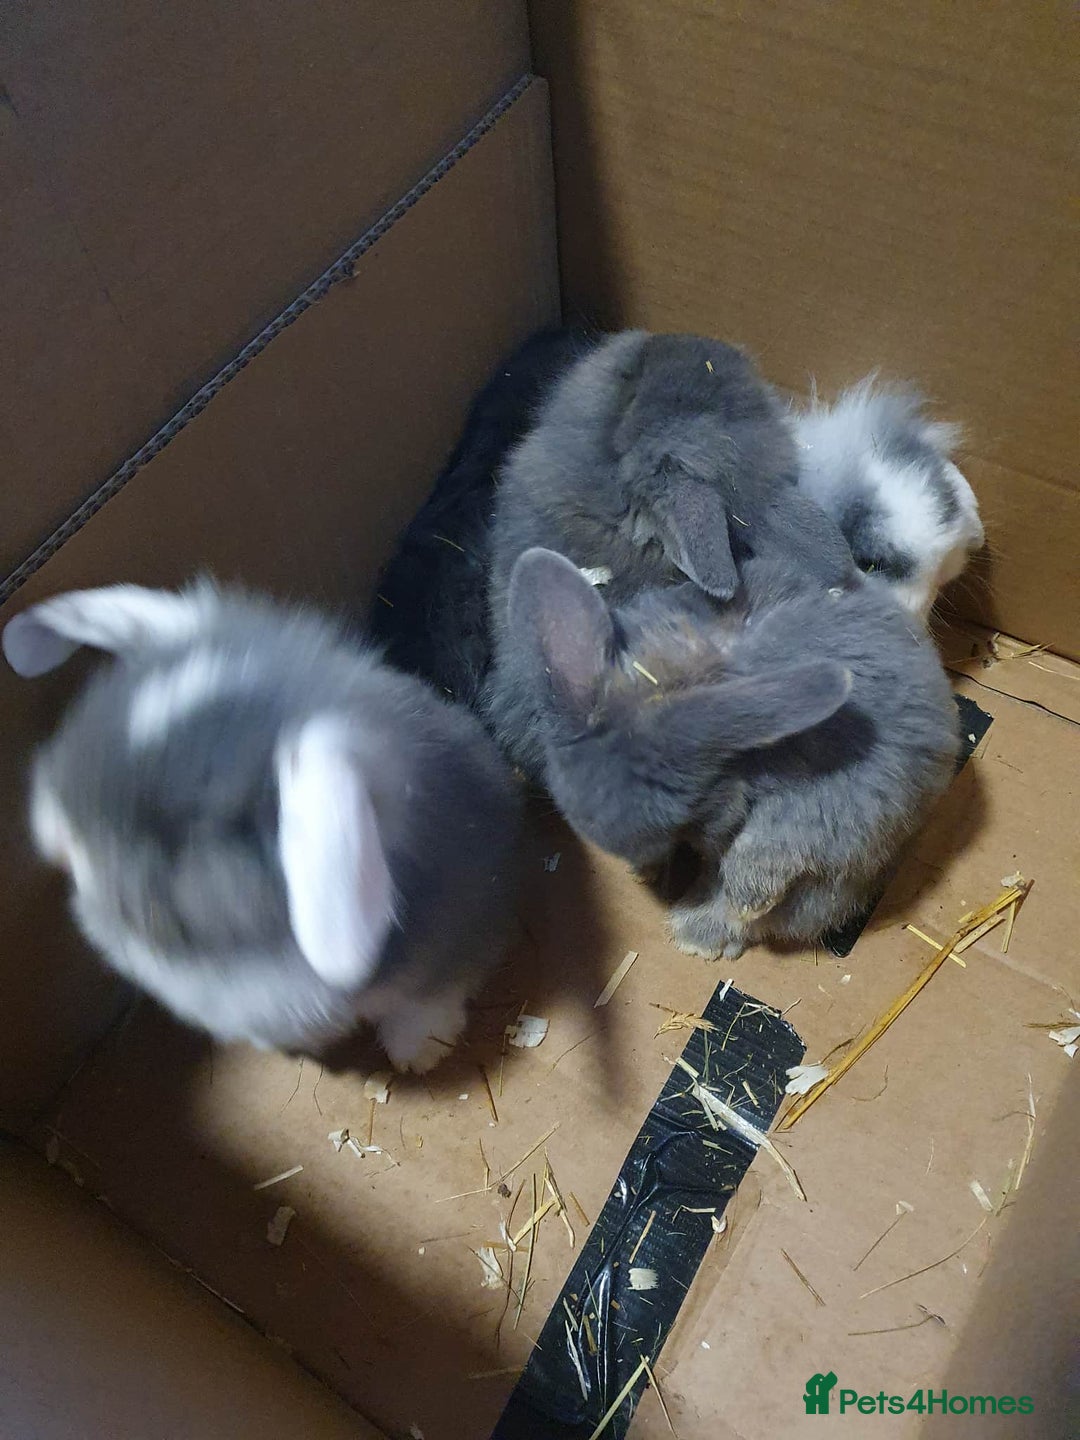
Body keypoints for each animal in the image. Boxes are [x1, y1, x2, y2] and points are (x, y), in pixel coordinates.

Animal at [500, 545, 959, 959]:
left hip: (835, 885)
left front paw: (743, 899)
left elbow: (774, 850)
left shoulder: (833, 799)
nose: (645, 864)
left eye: (685, 816)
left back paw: (697, 934)